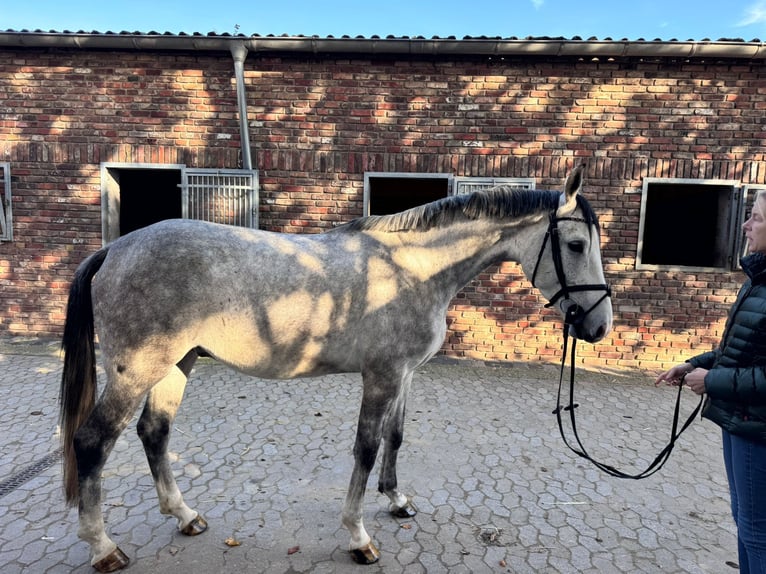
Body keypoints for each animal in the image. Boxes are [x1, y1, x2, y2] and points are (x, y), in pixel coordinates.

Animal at [59, 164, 612, 572]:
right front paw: (359, 537)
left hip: (178, 363)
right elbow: (365, 448)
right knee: (93, 442)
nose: (599, 327)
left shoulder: (404, 374)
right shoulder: (381, 376)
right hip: (137, 369)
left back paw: (186, 515)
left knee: (154, 432)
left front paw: (396, 500)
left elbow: (395, 437)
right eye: (576, 245)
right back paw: (103, 548)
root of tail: (114, 248)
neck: (410, 269)